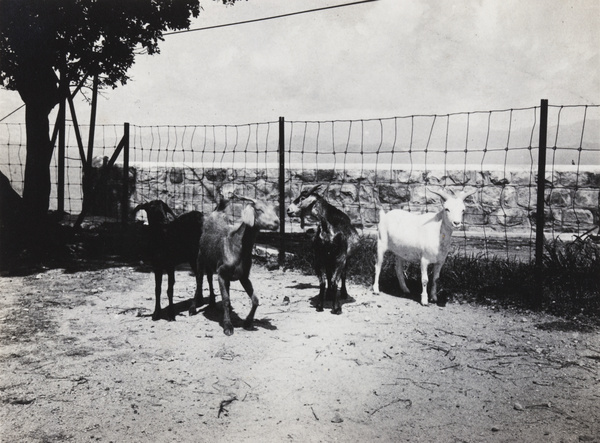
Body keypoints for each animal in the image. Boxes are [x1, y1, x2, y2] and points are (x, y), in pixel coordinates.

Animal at [288, 184, 358, 316]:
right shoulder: (345, 258)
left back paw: (320, 305)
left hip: (318, 258)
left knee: (322, 281)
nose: (288, 210)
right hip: (339, 258)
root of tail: (326, 226)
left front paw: (329, 295)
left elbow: (329, 276)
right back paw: (337, 308)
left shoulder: (327, 259)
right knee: (335, 280)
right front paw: (343, 294)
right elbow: (341, 275)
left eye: (302, 198)